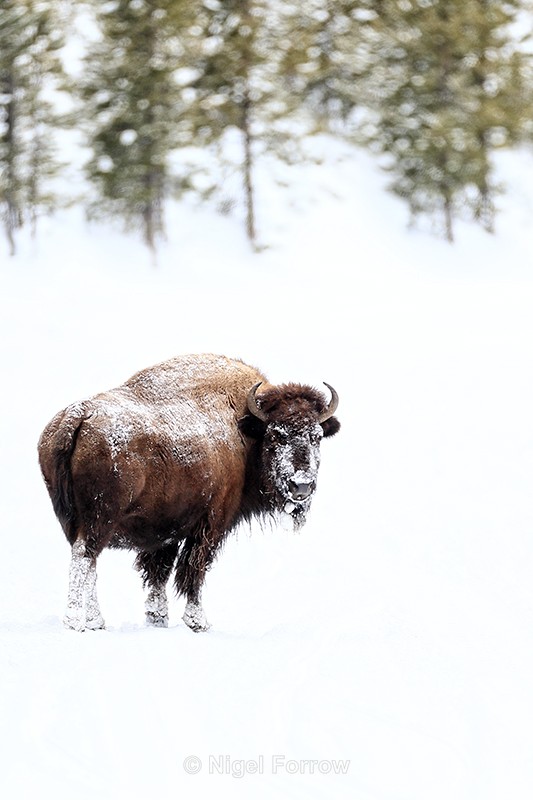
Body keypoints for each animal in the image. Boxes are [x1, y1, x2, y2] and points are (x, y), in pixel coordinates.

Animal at [38, 354, 340, 632]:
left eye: (316, 436)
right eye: (276, 435)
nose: (301, 485)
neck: (245, 428)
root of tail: (79, 414)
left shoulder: (167, 531)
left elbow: (159, 572)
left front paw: (157, 618)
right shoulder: (211, 524)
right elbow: (194, 570)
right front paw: (198, 622)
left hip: (77, 521)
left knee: (89, 562)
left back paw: (95, 622)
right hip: (100, 519)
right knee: (84, 558)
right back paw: (78, 622)